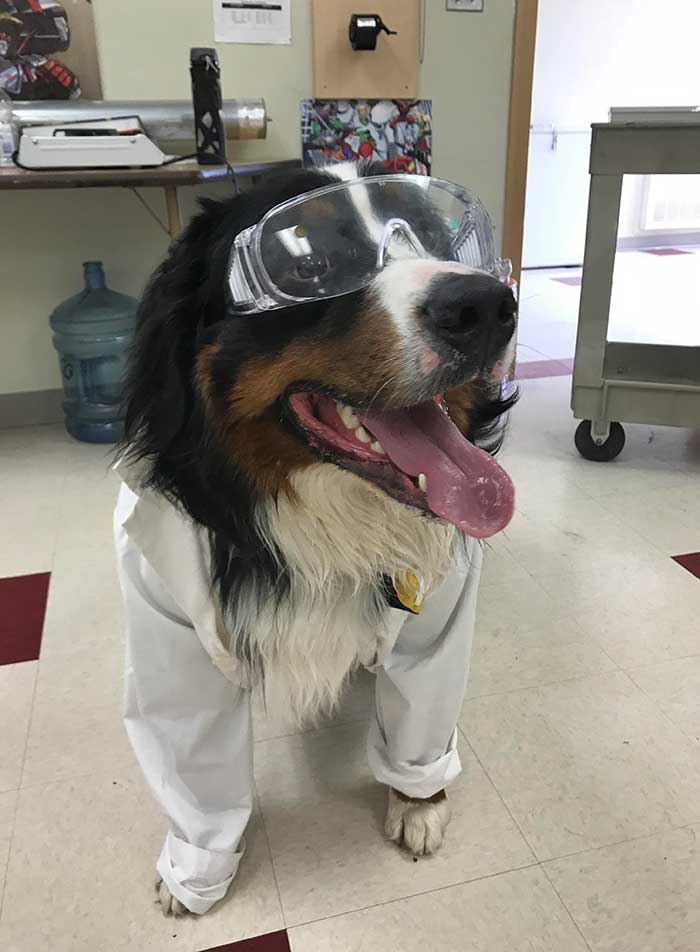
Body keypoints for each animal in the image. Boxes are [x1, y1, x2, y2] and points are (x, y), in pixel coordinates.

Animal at [115, 164, 516, 916]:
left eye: (441, 237)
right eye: (311, 266)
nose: (484, 305)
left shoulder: (441, 618)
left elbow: (421, 711)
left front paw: (418, 804)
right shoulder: (165, 618)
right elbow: (189, 752)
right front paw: (193, 874)